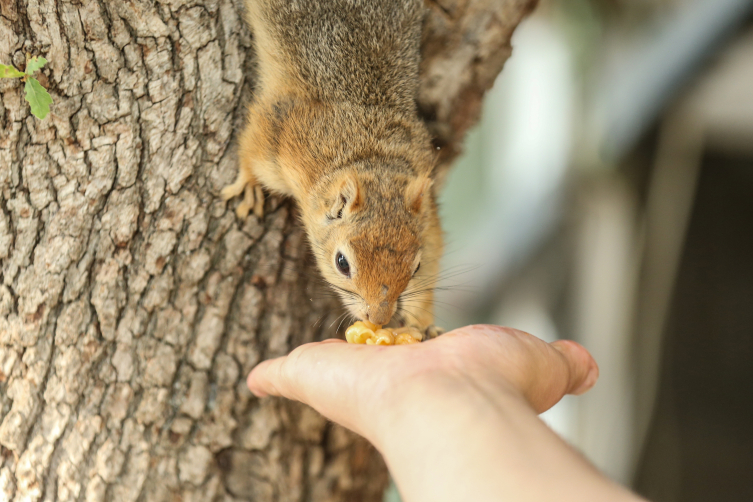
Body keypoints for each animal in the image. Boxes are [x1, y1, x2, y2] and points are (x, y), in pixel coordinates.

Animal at [225, 0, 446, 338]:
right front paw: (249, 185)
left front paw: (423, 321)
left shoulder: (427, 211)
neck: (370, 155)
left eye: (416, 267)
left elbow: (434, 246)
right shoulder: (283, 133)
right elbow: (252, 152)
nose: (378, 318)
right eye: (342, 263)